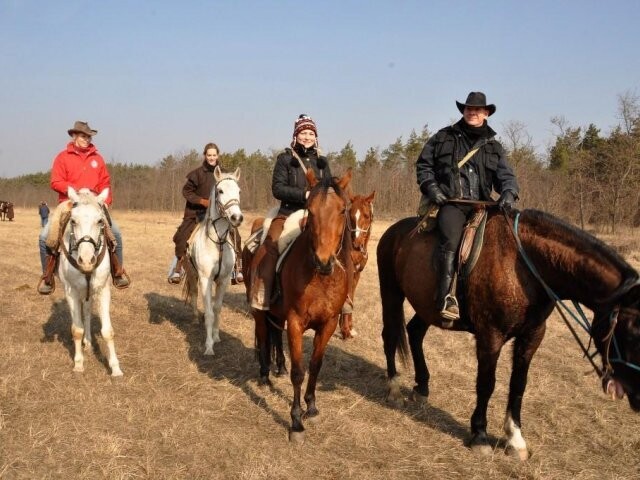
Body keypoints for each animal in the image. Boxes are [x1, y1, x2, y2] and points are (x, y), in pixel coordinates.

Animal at [58, 186, 123, 376]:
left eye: (100, 221)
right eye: (73, 221)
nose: (87, 261)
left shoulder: (103, 290)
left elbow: (107, 331)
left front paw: (115, 368)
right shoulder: (71, 292)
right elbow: (76, 329)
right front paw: (79, 364)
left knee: (86, 312)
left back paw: (88, 341)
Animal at [185, 167, 245, 354]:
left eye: (239, 191)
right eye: (220, 191)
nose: (237, 218)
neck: (217, 242)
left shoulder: (223, 280)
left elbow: (217, 309)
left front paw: (217, 337)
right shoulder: (206, 279)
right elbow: (210, 312)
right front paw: (209, 346)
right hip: (192, 274)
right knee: (194, 294)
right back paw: (194, 319)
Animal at [244, 168, 356, 442]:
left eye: (342, 210)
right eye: (310, 210)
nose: (324, 261)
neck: (319, 277)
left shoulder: (328, 323)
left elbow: (315, 366)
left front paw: (312, 407)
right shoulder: (295, 322)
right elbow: (299, 371)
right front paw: (295, 422)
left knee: (273, 335)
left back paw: (278, 368)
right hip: (260, 311)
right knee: (263, 336)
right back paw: (265, 375)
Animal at [378, 208, 640, 460]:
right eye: (632, 330)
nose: (637, 396)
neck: (525, 268)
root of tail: (394, 231)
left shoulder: (532, 336)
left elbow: (518, 385)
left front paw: (515, 439)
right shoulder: (490, 336)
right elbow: (486, 384)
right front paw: (480, 436)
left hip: (427, 308)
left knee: (414, 333)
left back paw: (422, 388)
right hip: (391, 293)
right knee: (390, 337)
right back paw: (393, 388)